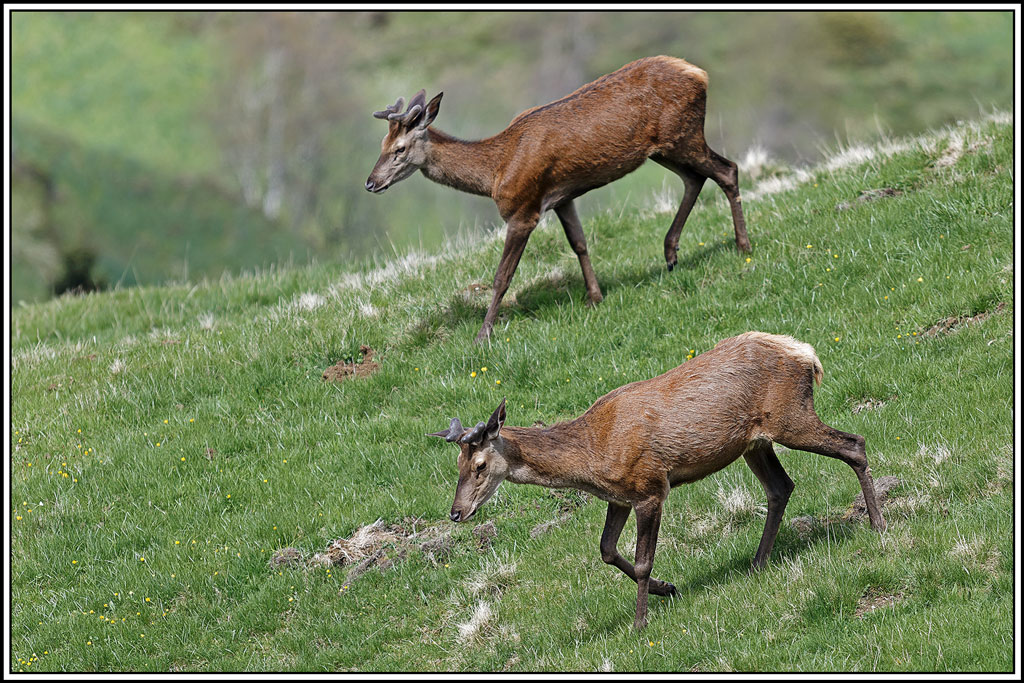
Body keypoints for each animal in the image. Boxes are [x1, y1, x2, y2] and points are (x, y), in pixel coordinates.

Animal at [367, 56, 751, 344]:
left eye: (400, 149)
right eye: (381, 146)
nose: (371, 182)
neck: (495, 173)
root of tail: (698, 73)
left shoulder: (523, 210)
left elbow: (502, 276)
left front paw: (482, 335)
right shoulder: (562, 197)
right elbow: (579, 243)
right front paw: (595, 297)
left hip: (683, 133)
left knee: (727, 170)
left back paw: (742, 246)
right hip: (665, 146)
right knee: (695, 177)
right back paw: (671, 254)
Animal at [428, 332, 887, 630]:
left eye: (479, 465)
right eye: (457, 465)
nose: (456, 513)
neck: (593, 453)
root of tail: (807, 354)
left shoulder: (650, 486)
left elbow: (641, 559)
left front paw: (640, 622)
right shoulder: (618, 496)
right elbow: (606, 550)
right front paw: (668, 588)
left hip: (790, 417)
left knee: (854, 444)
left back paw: (878, 525)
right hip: (754, 442)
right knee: (781, 487)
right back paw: (758, 562)